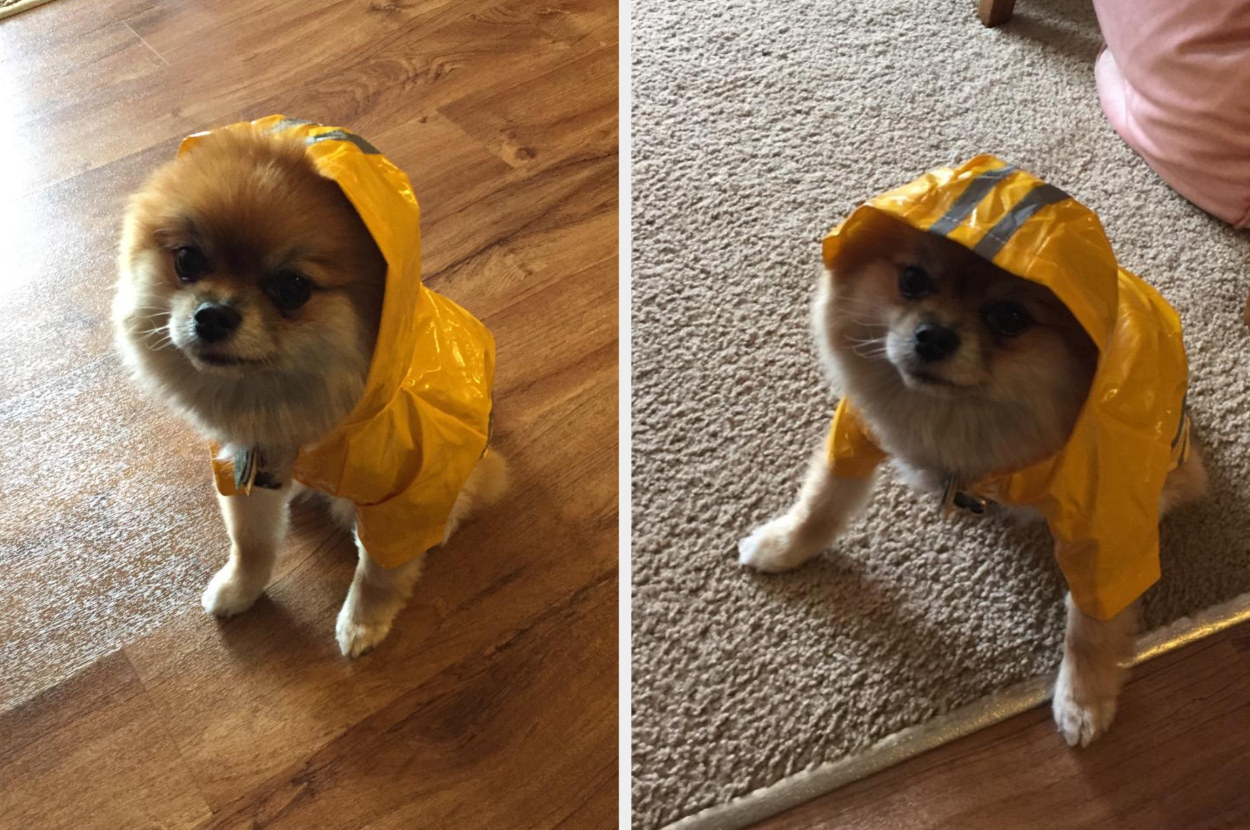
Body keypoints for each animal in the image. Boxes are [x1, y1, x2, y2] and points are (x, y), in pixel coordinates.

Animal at [112, 120, 507, 660]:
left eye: (292, 287)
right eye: (188, 260)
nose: (212, 315)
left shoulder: (405, 496)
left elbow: (380, 571)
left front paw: (363, 623)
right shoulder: (241, 468)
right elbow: (251, 544)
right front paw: (240, 589)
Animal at [735, 200, 1205, 745]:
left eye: (1010, 317)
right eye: (912, 279)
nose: (933, 336)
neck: (958, 418)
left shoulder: (1105, 519)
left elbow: (1090, 621)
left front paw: (1082, 698)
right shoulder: (859, 430)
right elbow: (823, 500)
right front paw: (782, 545)